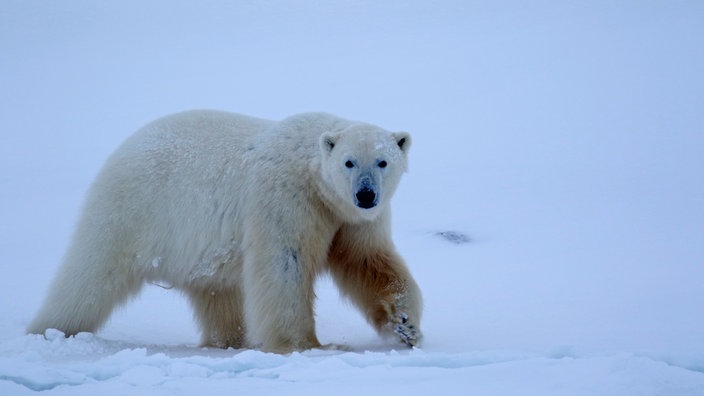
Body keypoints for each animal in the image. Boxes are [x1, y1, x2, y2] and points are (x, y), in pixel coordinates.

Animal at [27, 110, 420, 352]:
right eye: (349, 162)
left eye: (383, 161)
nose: (365, 194)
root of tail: (122, 149)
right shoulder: (287, 197)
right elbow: (285, 264)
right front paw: (307, 345)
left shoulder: (350, 219)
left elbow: (368, 261)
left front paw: (405, 325)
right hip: (133, 208)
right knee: (89, 275)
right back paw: (51, 330)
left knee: (217, 293)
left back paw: (229, 340)